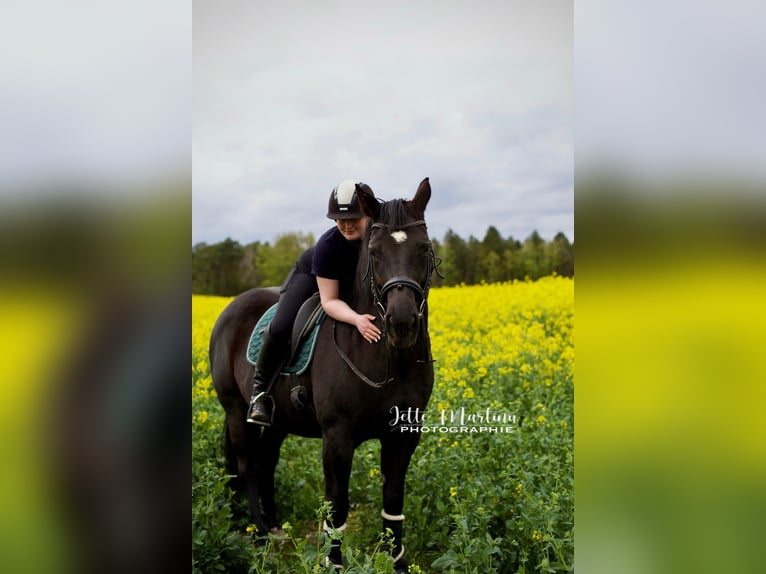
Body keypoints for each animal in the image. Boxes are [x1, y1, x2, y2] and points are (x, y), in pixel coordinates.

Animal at [207, 179, 440, 572]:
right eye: (374, 252)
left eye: (424, 248)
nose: (402, 323)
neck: (388, 361)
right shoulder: (337, 438)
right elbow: (337, 506)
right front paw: (334, 562)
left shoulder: (404, 433)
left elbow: (393, 502)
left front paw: (398, 562)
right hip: (237, 409)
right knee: (249, 465)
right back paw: (260, 536)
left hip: (279, 420)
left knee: (267, 461)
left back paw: (274, 526)